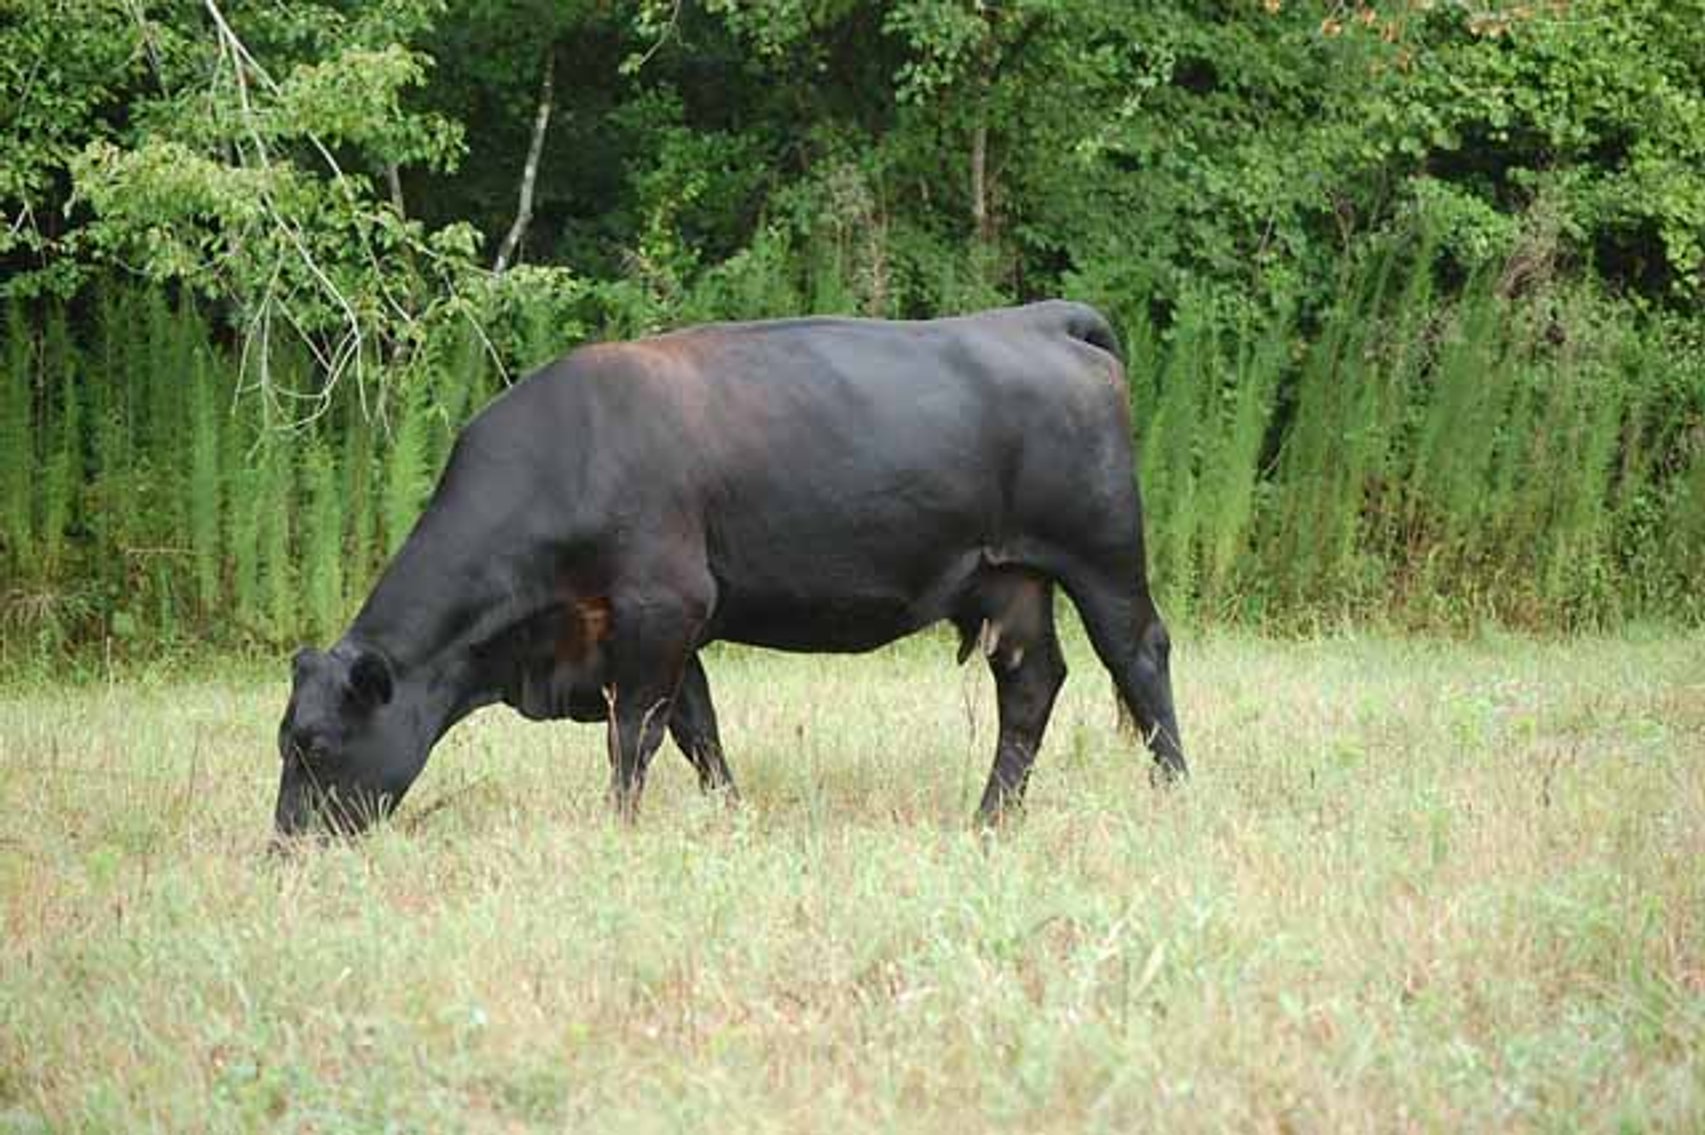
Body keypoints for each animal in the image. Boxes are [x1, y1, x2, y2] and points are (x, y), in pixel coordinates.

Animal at [275, 301, 1186, 837]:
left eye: (315, 744)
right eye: (283, 738)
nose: (286, 844)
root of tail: (1037, 317)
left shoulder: (661, 603)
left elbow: (635, 733)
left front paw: (618, 829)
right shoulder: (665, 626)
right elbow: (696, 729)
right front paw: (731, 818)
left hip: (1102, 556)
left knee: (1138, 657)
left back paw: (1173, 791)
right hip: (1007, 581)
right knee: (1029, 686)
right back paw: (989, 818)